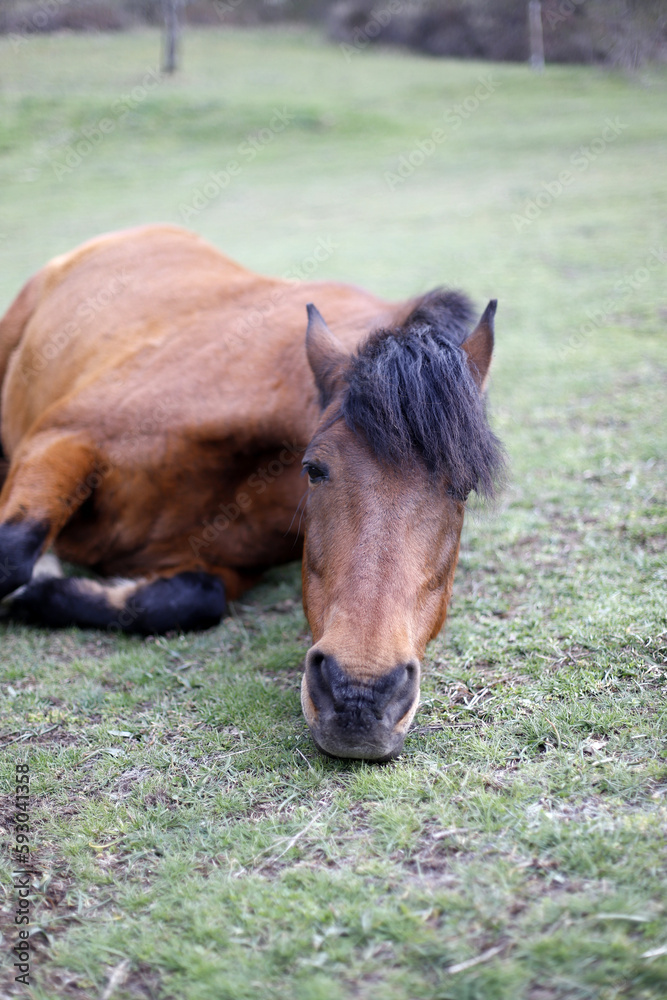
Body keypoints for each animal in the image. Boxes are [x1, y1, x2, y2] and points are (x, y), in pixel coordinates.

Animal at [0, 224, 503, 760]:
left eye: (463, 486)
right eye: (314, 470)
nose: (359, 697)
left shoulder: (220, 566)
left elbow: (191, 598)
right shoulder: (62, 437)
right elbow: (11, 557)